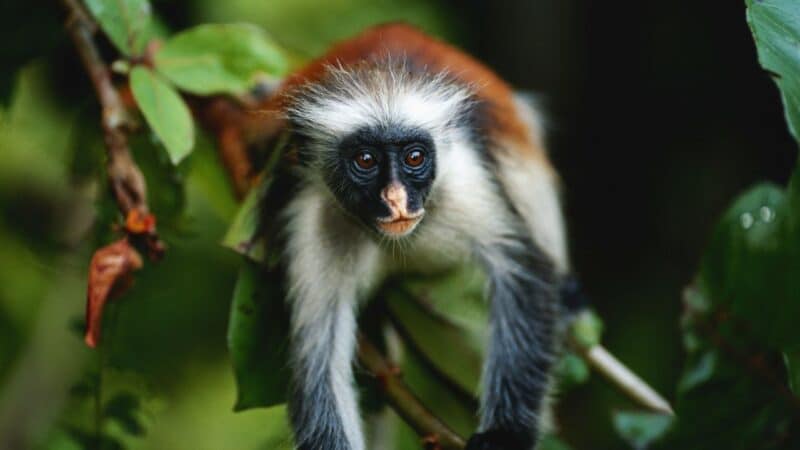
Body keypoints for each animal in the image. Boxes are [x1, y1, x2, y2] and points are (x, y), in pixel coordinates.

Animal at [258, 23, 570, 450]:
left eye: (414, 158)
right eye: (365, 160)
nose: (396, 199)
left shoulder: (463, 181)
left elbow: (523, 270)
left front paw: (504, 435)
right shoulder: (316, 216)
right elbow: (317, 355)